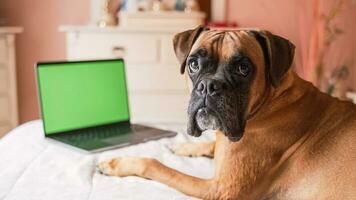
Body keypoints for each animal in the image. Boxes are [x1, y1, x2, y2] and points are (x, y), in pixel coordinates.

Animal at [98, 26, 356, 200]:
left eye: (243, 68)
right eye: (193, 64)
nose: (208, 86)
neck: (271, 101)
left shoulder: (218, 188)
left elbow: (157, 166)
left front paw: (117, 163)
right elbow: (211, 144)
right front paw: (184, 146)